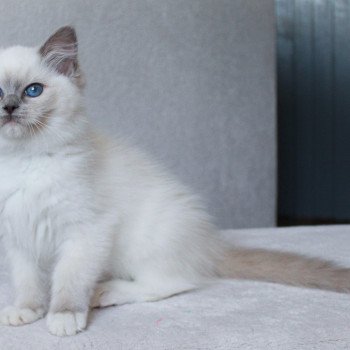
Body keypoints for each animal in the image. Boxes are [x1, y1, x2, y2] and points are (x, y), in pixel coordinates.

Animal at [0, 26, 350, 338]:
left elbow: (68, 280)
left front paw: (63, 316)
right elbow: (27, 281)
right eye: (1, 93)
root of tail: (209, 245)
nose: (9, 107)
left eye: (33, 90)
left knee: (174, 282)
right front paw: (27, 310)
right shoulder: (18, 235)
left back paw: (106, 292)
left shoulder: (85, 231)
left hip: (141, 244)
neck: (23, 161)